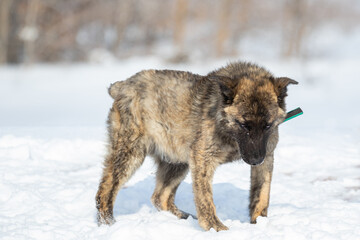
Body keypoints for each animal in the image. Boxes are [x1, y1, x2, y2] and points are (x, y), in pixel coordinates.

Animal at [95, 61, 298, 231]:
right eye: (243, 125)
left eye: (267, 126)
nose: (255, 160)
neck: (229, 134)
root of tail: (124, 85)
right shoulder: (202, 159)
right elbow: (205, 198)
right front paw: (215, 227)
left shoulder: (267, 157)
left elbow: (262, 195)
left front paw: (259, 224)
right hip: (131, 153)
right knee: (105, 190)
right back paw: (108, 223)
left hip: (177, 161)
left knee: (160, 197)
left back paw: (183, 218)